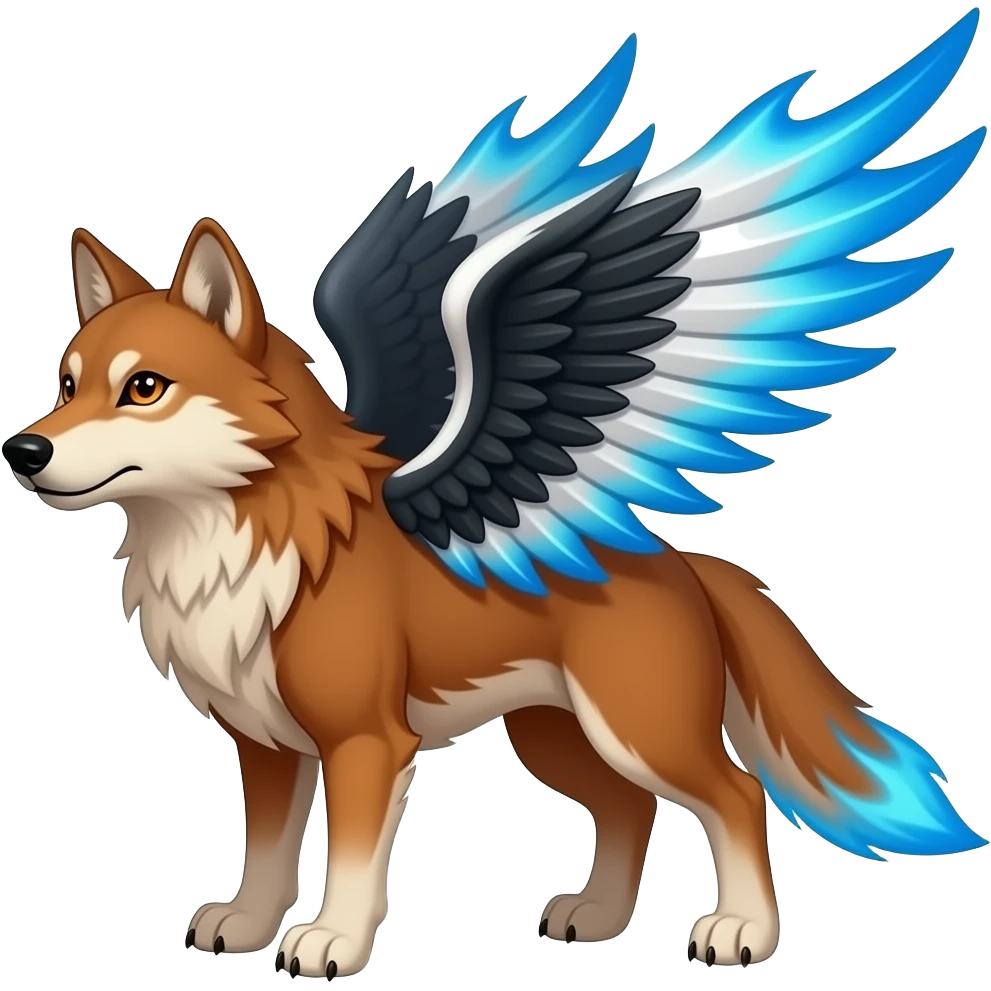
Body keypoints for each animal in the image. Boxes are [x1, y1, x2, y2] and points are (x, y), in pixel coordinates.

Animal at [5, 11, 986, 980]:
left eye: (145, 388)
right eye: (66, 382)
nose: (23, 449)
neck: (249, 541)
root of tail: (681, 563)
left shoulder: (366, 741)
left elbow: (349, 859)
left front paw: (332, 941)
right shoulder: (269, 745)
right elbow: (268, 849)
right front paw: (246, 925)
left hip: (636, 725)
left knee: (733, 794)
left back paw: (740, 930)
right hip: (554, 736)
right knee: (628, 808)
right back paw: (597, 915)